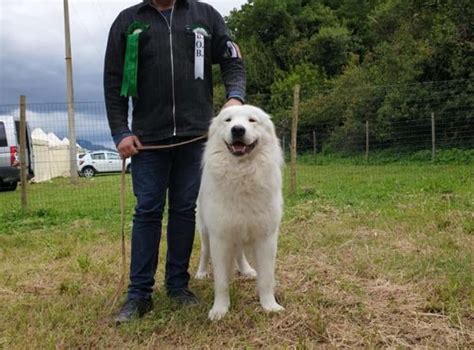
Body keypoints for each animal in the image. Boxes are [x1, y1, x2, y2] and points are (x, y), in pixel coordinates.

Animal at [196, 104, 286, 320]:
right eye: (228, 120)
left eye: (252, 120)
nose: (237, 129)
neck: (242, 173)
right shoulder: (220, 237)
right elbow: (221, 282)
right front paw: (220, 310)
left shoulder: (266, 237)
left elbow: (266, 278)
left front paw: (269, 306)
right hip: (205, 231)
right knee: (204, 252)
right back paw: (201, 273)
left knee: (239, 254)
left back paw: (246, 270)